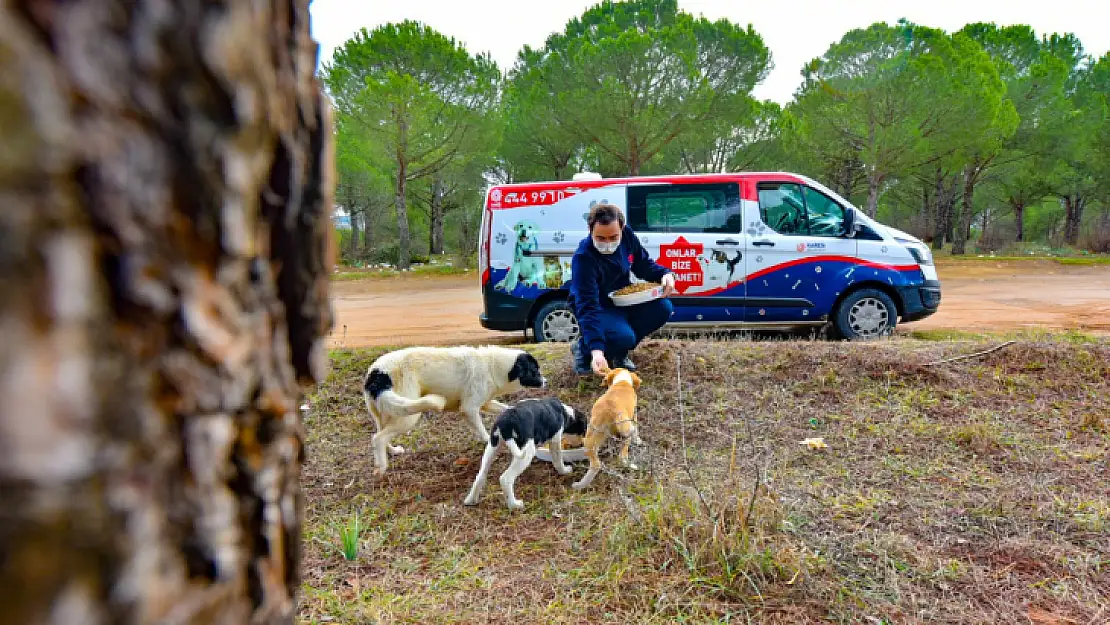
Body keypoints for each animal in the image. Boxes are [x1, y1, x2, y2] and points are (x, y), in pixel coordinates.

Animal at [361, 346, 548, 475]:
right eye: (535, 371)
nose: (545, 381)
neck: (492, 366)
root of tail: (377, 373)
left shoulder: (486, 403)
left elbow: (505, 409)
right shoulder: (469, 409)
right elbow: (482, 431)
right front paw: (489, 442)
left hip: (386, 414)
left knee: (380, 434)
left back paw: (392, 451)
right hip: (408, 414)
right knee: (378, 438)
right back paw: (382, 467)